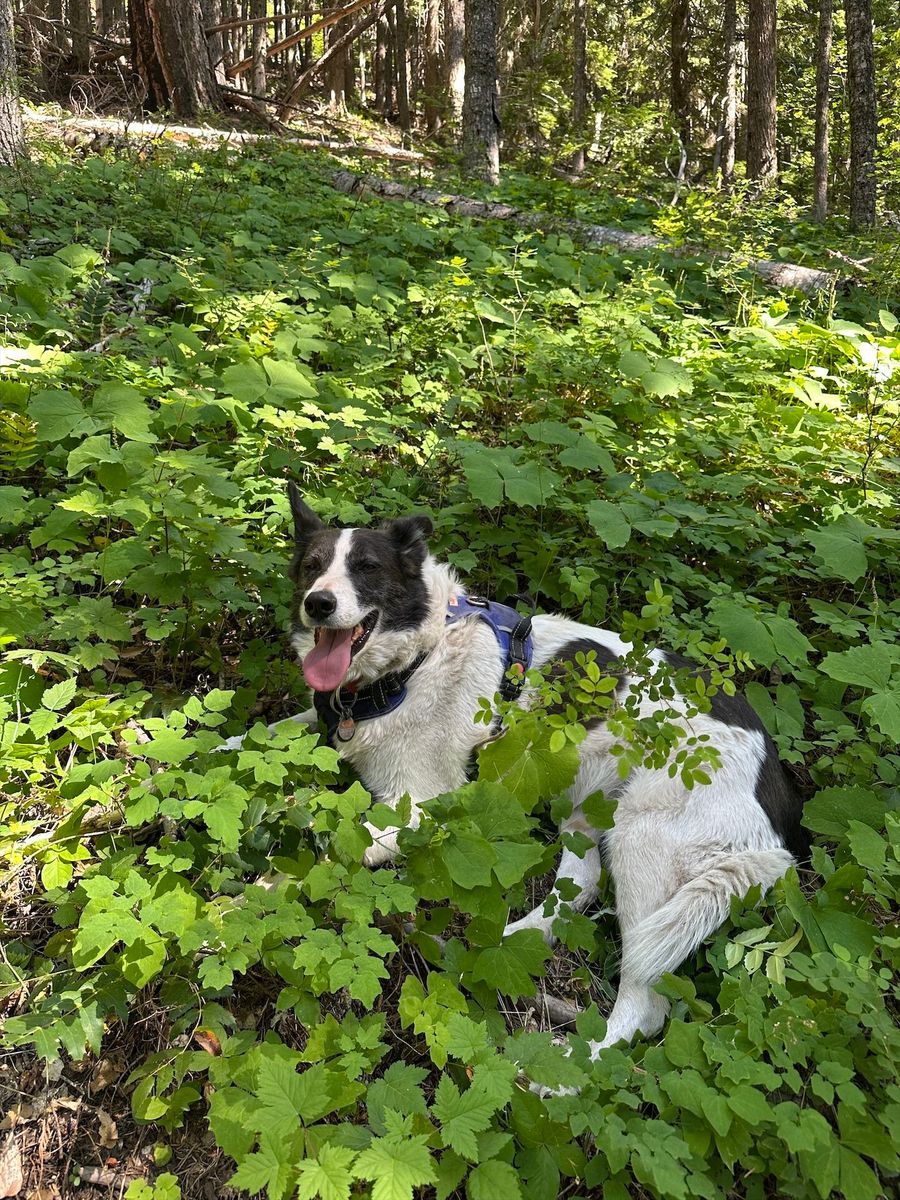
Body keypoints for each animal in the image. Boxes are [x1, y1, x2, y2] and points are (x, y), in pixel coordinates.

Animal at [250, 484, 804, 1060]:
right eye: (312, 566)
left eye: (367, 568)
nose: (318, 604)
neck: (417, 657)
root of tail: (779, 809)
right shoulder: (324, 720)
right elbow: (261, 735)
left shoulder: (422, 804)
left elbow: (328, 846)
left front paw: (249, 898)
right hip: (584, 811)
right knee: (581, 884)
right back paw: (511, 941)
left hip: (644, 841)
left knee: (645, 1004)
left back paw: (569, 1063)